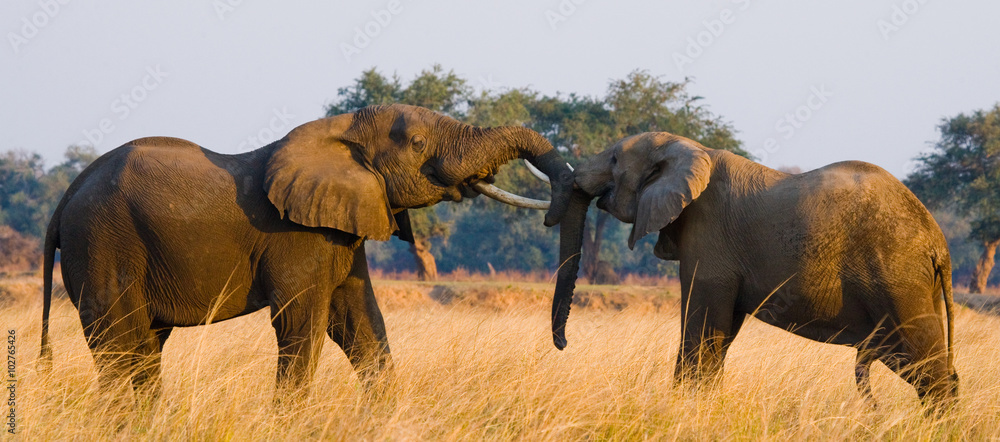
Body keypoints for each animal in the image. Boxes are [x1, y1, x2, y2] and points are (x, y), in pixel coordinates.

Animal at [38, 104, 572, 398]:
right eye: (419, 143)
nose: (561, 343)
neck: (341, 128)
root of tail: (65, 197)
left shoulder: (343, 227)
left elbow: (361, 322)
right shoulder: (298, 236)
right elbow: (303, 324)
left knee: (145, 348)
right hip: (103, 243)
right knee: (119, 346)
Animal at [546, 132, 958, 408]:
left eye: (615, 160)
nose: (563, 344)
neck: (688, 147)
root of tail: (938, 241)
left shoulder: (709, 236)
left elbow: (703, 328)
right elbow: (721, 332)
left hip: (898, 278)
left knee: (928, 369)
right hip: (913, 287)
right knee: (926, 366)